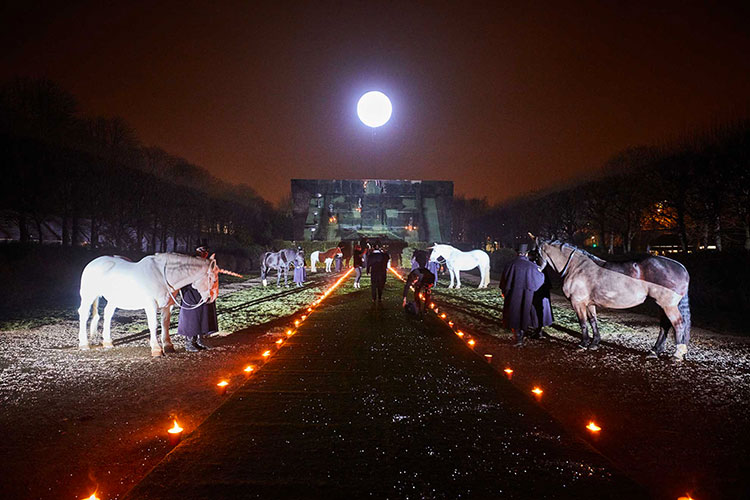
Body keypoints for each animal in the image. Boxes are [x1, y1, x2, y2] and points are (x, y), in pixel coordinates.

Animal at [78, 254, 220, 356]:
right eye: (213, 279)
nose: (211, 298)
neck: (162, 276)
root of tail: (93, 263)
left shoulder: (167, 306)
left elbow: (165, 324)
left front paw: (168, 346)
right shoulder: (150, 305)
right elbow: (154, 325)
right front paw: (156, 349)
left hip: (113, 299)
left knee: (108, 314)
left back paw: (107, 342)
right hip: (88, 296)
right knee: (84, 314)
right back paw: (84, 344)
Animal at [536, 238, 692, 360]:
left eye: (535, 253)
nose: (537, 269)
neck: (577, 266)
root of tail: (682, 268)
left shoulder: (578, 302)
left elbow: (583, 322)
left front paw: (583, 343)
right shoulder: (589, 303)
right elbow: (593, 321)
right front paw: (594, 343)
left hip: (668, 306)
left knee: (678, 324)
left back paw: (676, 355)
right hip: (662, 305)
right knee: (665, 326)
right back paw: (655, 351)